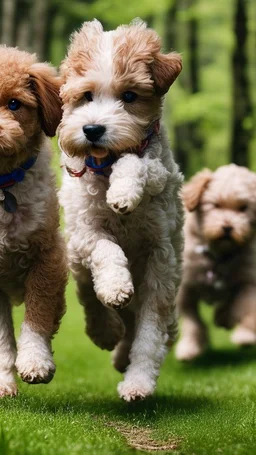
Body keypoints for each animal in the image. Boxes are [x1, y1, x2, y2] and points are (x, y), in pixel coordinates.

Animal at [175, 166, 256, 362]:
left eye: (244, 208)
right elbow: (192, 320)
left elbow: (246, 305)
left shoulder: (247, 279)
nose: (227, 227)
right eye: (215, 205)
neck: (218, 256)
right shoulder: (186, 288)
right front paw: (190, 347)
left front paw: (245, 335)